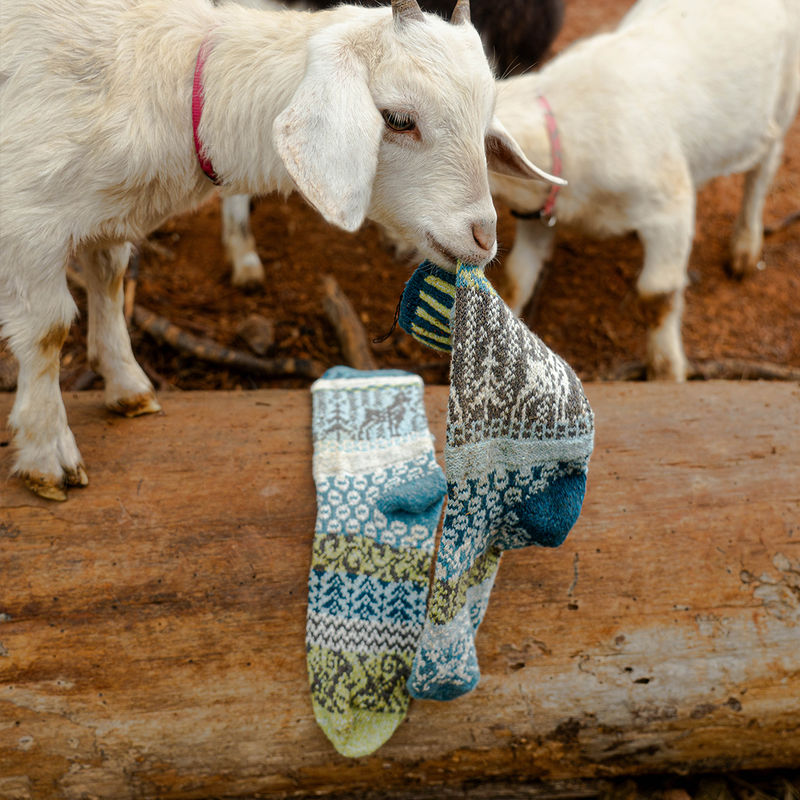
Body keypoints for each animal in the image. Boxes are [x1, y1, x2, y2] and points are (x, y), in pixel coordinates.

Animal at [489, 0, 800, 381]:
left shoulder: (670, 209)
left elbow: (657, 295)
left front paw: (666, 373)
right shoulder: (538, 211)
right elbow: (516, 277)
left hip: (782, 101)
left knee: (763, 168)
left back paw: (744, 246)